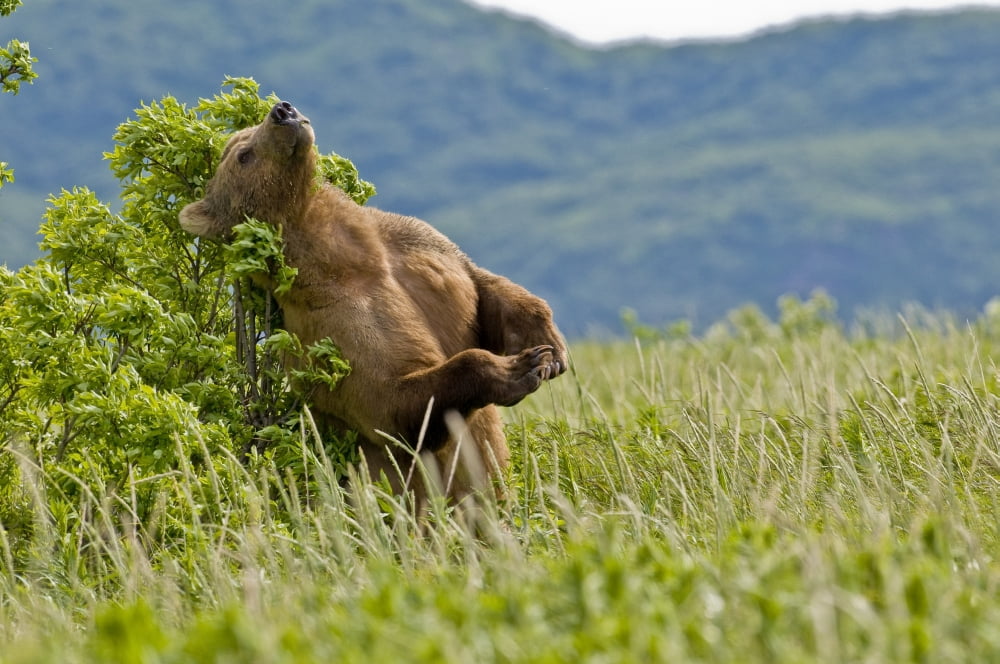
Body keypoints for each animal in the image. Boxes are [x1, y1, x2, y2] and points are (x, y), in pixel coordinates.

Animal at [179, 101, 568, 504]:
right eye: (244, 155)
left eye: (246, 136)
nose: (282, 111)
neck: (348, 257)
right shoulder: (337, 328)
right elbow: (391, 405)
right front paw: (518, 368)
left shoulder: (419, 251)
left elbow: (483, 288)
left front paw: (546, 349)